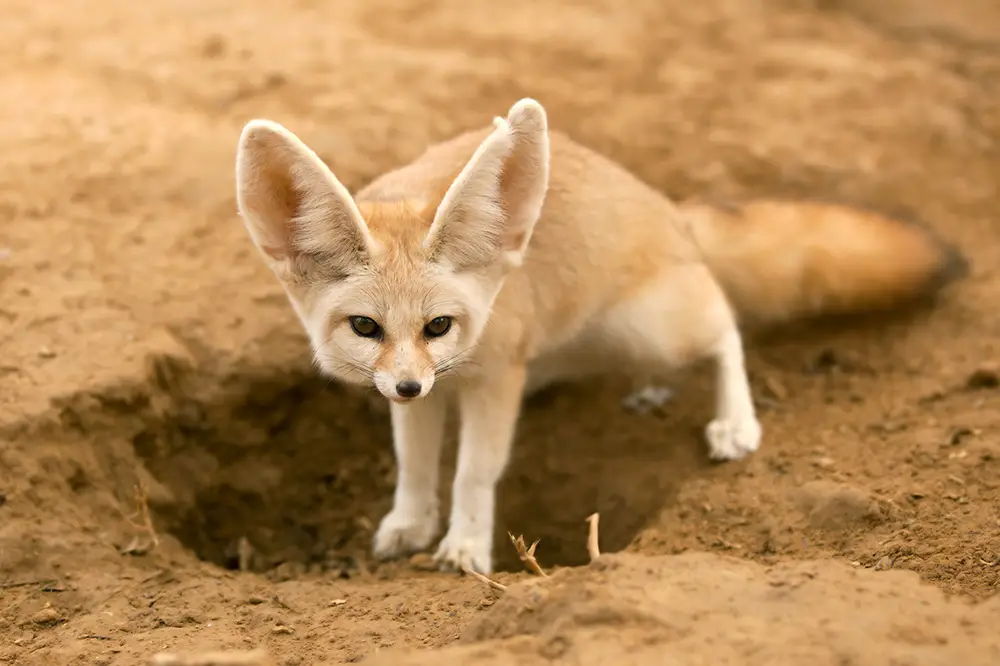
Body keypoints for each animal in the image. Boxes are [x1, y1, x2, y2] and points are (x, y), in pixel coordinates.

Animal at [234, 97, 968, 572]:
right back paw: (651, 391)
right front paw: (410, 524)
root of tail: (669, 209)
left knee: (725, 323)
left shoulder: (494, 378)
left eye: (439, 325)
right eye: (366, 327)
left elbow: (474, 470)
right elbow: (414, 464)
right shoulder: (426, 391)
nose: (410, 385)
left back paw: (735, 421)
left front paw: (466, 547)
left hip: (652, 326)